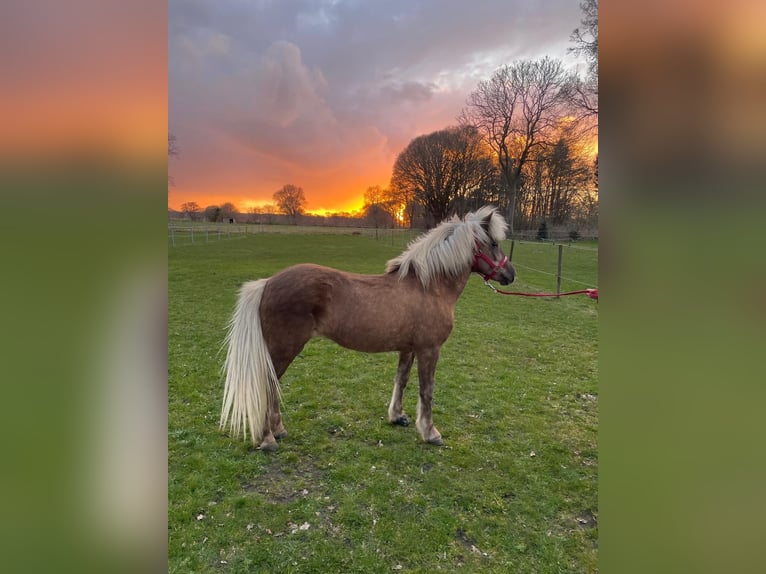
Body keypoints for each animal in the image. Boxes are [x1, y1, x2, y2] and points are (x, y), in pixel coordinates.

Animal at [219, 205, 516, 451]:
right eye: (493, 243)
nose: (510, 274)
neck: (428, 287)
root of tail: (267, 283)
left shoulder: (408, 348)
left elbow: (401, 380)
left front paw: (398, 417)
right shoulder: (429, 350)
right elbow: (427, 390)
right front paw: (430, 433)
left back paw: (278, 431)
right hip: (284, 348)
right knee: (269, 385)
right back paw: (268, 439)